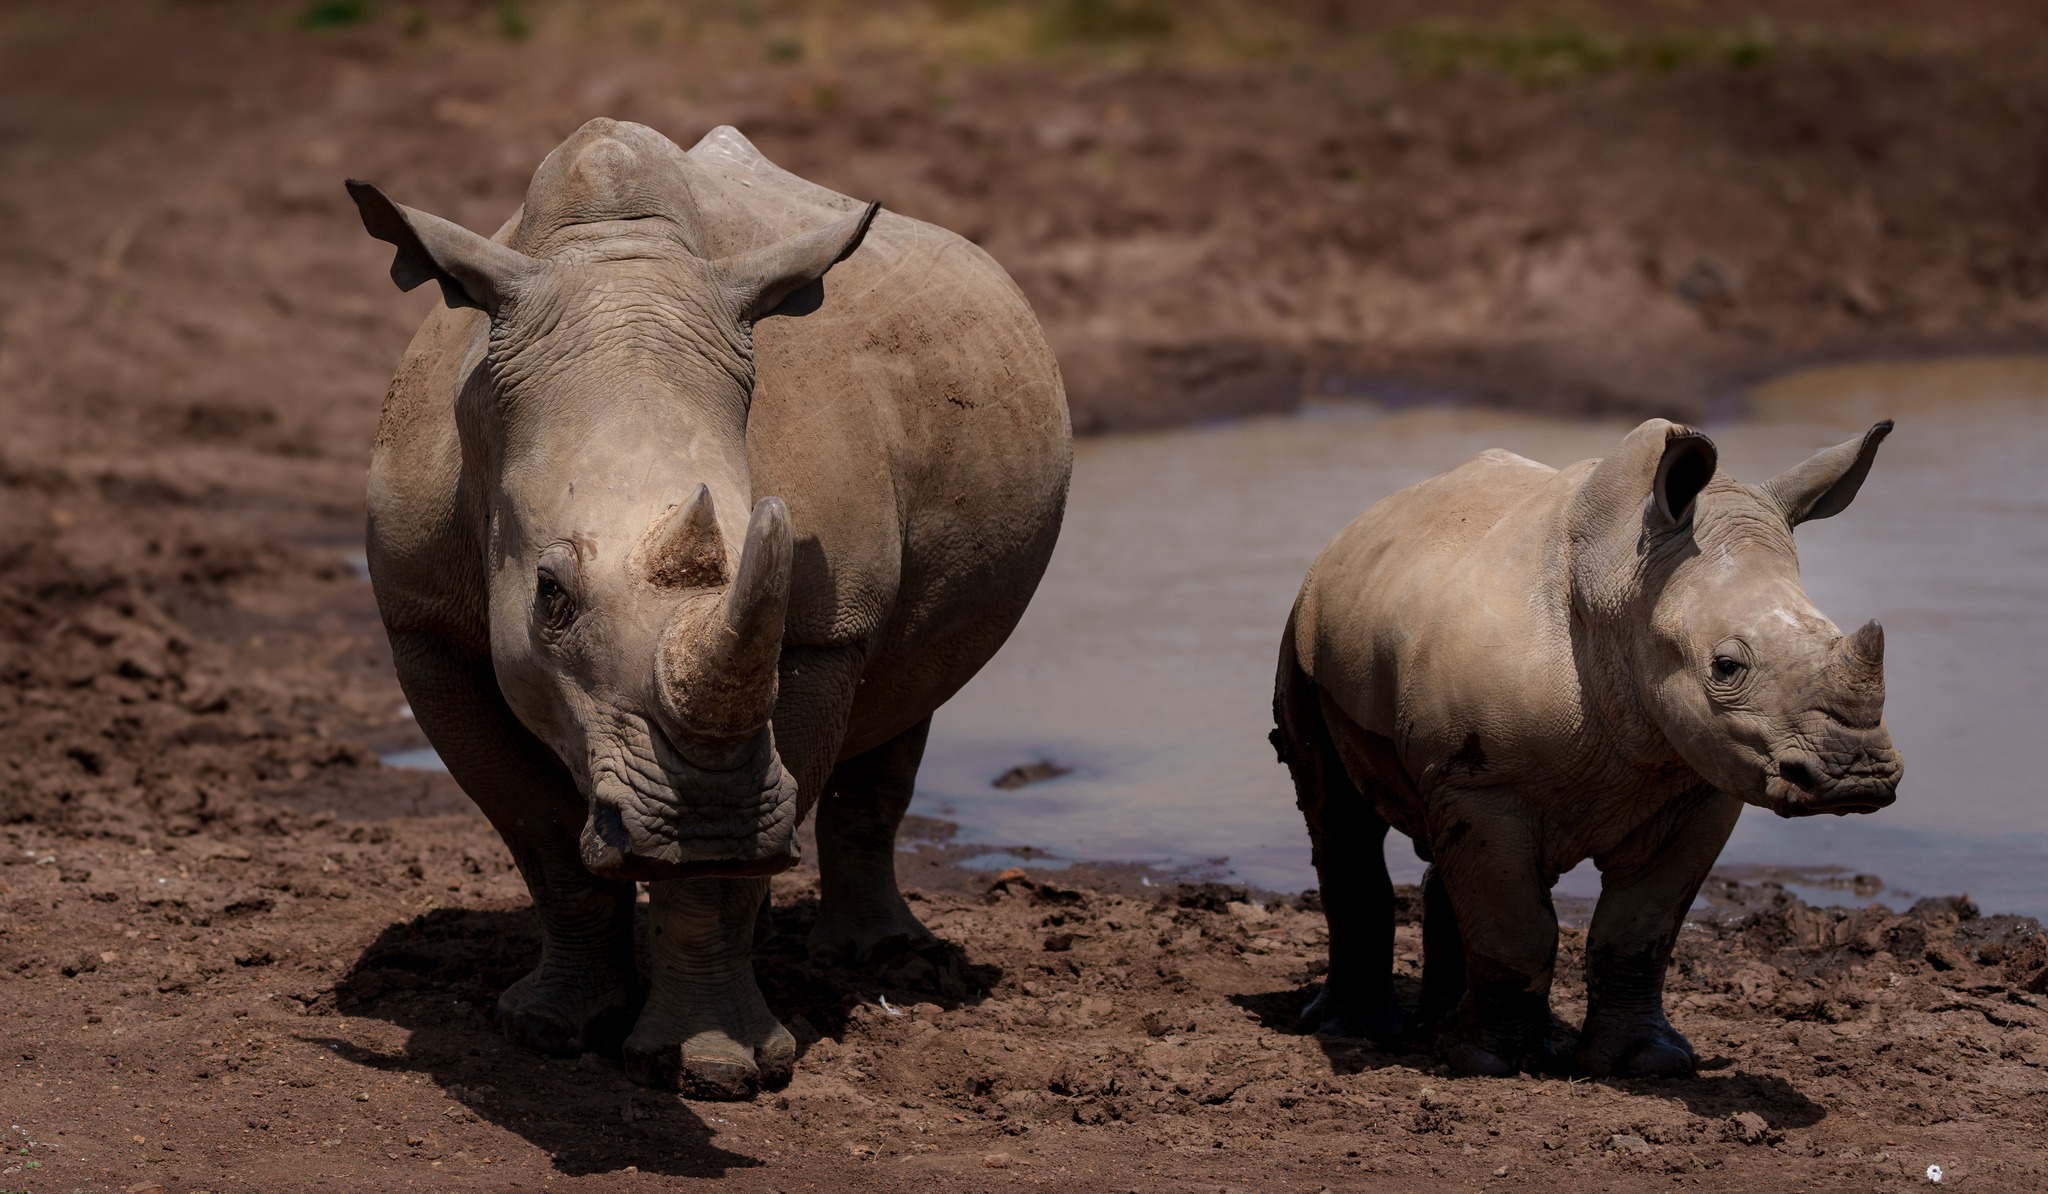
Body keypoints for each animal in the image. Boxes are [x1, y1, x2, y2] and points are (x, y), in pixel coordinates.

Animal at [348, 119, 1071, 1097]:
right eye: (549, 596)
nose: (714, 824)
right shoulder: (423, 626)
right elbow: (541, 836)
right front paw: (546, 1028)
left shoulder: (820, 633)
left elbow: (718, 875)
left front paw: (713, 1066)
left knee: (905, 698)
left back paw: (882, 961)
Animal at [1273, 418, 1899, 1078]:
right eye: (1726, 667)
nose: (1858, 777)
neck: (1629, 588)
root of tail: (1358, 526)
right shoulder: (1487, 784)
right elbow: (1516, 928)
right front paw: (1491, 1064)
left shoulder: (1702, 792)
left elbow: (1638, 929)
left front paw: (1645, 1061)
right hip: (1305, 629)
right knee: (1338, 818)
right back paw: (1359, 1031)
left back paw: (1443, 1027)